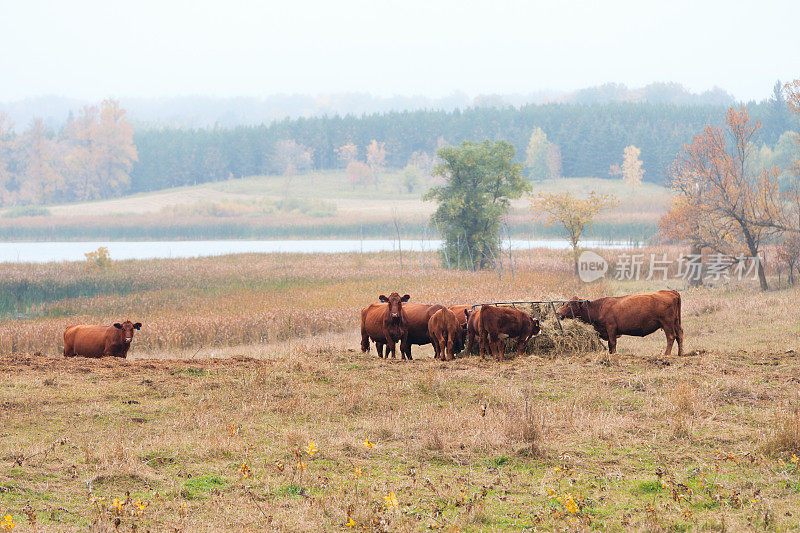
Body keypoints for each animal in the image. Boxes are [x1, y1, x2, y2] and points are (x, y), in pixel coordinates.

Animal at [552, 288, 684, 356]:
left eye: (570, 305)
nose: (558, 312)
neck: (599, 308)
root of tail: (670, 291)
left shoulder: (611, 328)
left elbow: (612, 343)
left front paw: (614, 354)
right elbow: (610, 345)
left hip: (667, 323)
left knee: (671, 337)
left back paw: (666, 354)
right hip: (676, 323)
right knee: (680, 336)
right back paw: (680, 353)